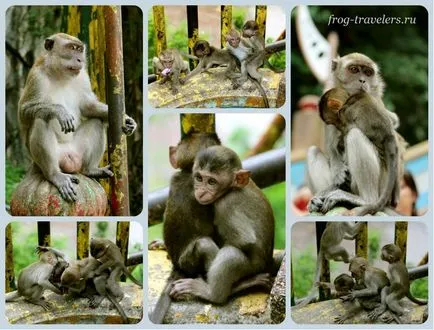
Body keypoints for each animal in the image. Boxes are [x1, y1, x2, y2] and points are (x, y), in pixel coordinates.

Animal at [18, 34, 136, 204]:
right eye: (72, 48)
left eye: (80, 49)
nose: (80, 59)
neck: (59, 74)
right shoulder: (36, 76)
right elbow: (24, 112)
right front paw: (60, 111)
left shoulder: (83, 77)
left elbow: (88, 106)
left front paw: (127, 121)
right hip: (52, 158)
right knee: (41, 119)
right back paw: (54, 175)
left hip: (76, 152)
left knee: (96, 121)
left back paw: (90, 170)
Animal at [170, 146, 274, 306]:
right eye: (199, 178)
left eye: (212, 182)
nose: (201, 192)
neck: (231, 189)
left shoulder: (225, 204)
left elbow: (245, 241)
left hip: (251, 268)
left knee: (229, 253)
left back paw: (214, 293)